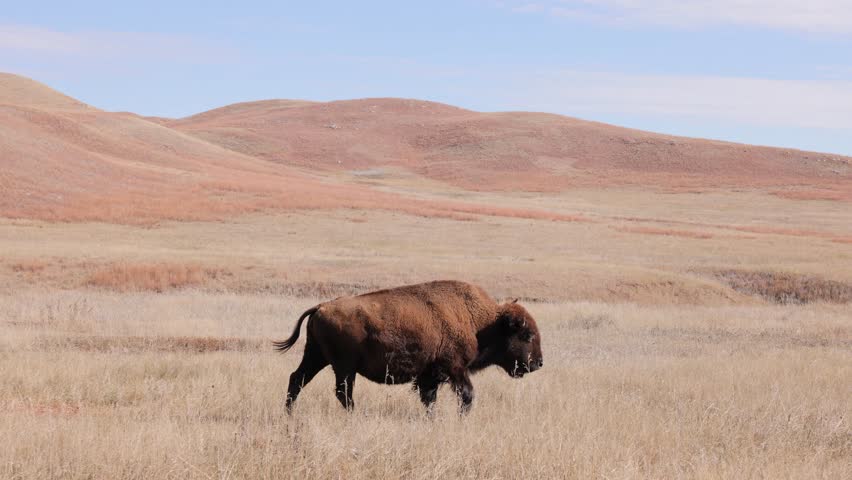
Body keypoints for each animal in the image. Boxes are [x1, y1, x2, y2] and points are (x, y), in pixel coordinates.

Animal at [274, 280, 543, 414]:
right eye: (527, 334)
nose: (539, 363)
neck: (481, 321)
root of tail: (321, 307)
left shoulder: (429, 376)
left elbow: (429, 399)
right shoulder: (455, 368)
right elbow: (466, 395)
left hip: (316, 357)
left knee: (297, 379)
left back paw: (289, 413)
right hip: (343, 367)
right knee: (343, 393)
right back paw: (354, 415)